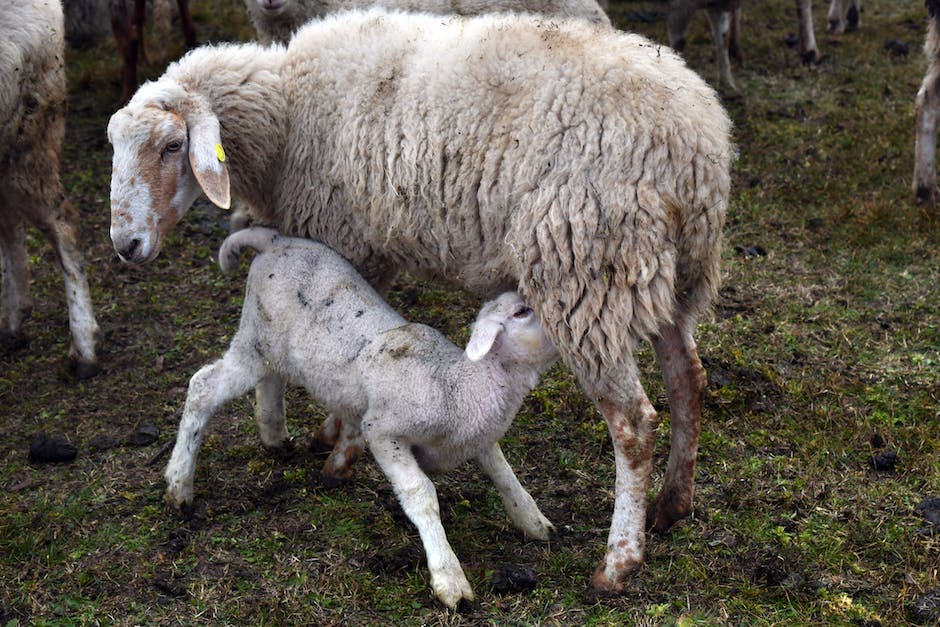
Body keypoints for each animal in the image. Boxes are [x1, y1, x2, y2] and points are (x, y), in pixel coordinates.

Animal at [165, 228, 560, 612]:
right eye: (522, 312)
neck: (457, 384)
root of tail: (275, 240)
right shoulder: (384, 432)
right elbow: (421, 495)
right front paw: (449, 578)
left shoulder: (478, 437)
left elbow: (503, 472)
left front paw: (532, 520)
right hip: (254, 342)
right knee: (202, 387)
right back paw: (179, 484)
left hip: (272, 352)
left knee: (270, 382)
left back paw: (274, 434)